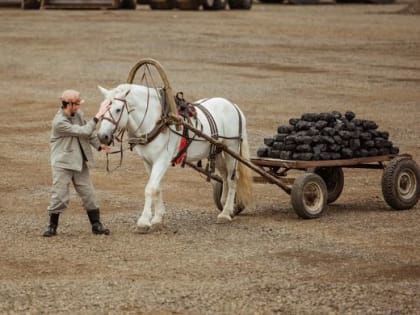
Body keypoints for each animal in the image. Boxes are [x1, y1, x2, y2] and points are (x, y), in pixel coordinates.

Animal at [97, 83, 251, 232]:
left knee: (232, 179)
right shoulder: (148, 161)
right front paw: (157, 219)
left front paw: (144, 221)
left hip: (231, 148)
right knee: (224, 176)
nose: (102, 136)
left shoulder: (162, 160)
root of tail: (233, 105)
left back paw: (226, 213)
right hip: (217, 150)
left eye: (118, 109)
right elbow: (157, 188)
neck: (156, 121)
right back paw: (225, 206)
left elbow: (150, 189)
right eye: (102, 107)